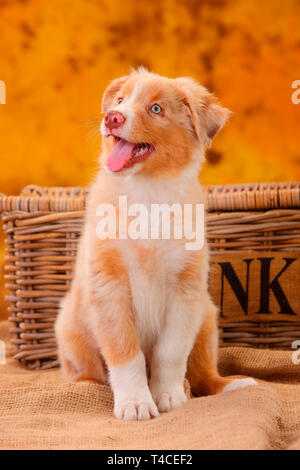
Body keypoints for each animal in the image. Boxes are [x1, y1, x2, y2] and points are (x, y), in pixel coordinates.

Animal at [55, 68, 256, 420]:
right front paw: (135, 403)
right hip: (70, 328)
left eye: (156, 109)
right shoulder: (109, 287)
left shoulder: (185, 290)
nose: (112, 117)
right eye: (120, 100)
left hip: (206, 319)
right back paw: (85, 387)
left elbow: (171, 353)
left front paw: (168, 396)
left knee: (204, 375)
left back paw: (233, 384)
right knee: (85, 374)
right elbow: (126, 354)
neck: (147, 192)